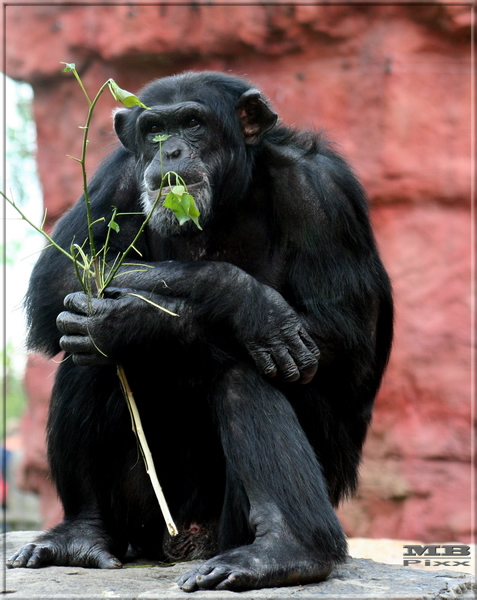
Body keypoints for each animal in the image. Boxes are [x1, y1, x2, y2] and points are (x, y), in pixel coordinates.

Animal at [7, 70, 392, 592]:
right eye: (153, 129)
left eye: (192, 123)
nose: (169, 151)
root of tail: (185, 542)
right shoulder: (118, 174)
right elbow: (61, 276)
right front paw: (222, 302)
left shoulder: (322, 193)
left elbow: (345, 335)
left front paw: (172, 313)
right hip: (147, 521)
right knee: (85, 347)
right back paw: (80, 535)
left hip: (230, 524)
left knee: (242, 372)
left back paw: (288, 550)